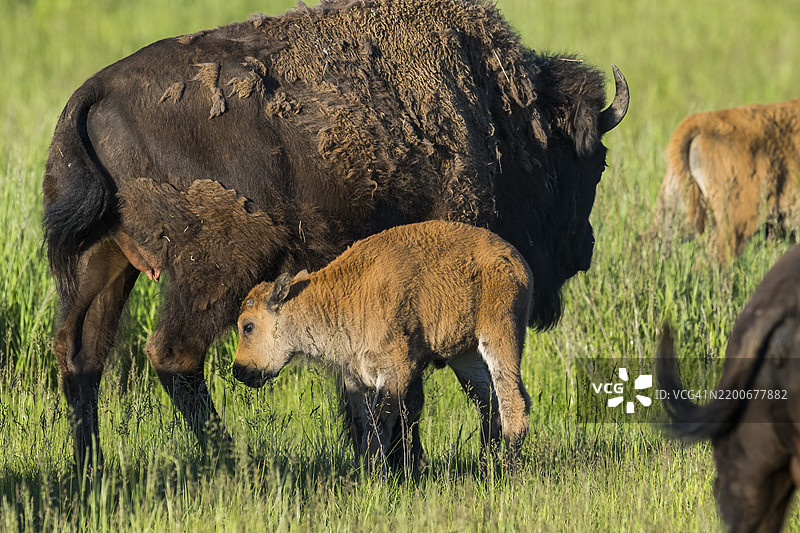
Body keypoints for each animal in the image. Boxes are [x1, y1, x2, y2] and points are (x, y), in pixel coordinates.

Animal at [43, 0, 628, 470]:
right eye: (593, 162)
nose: (585, 249)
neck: (501, 116)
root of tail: (93, 94)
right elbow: (408, 391)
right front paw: (406, 462)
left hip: (103, 264)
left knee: (81, 356)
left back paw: (89, 466)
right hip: (213, 270)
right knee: (173, 353)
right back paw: (232, 460)